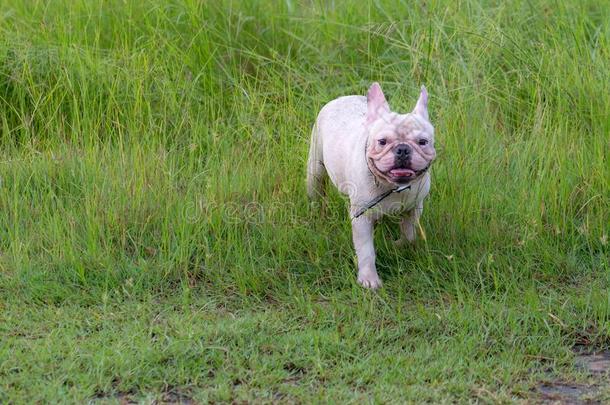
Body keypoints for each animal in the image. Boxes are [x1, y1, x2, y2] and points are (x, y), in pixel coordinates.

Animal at [306, 82, 434, 288]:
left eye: (423, 142)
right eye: (382, 142)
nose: (403, 149)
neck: (392, 186)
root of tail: (343, 97)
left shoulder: (414, 208)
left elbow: (409, 234)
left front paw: (398, 245)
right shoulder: (362, 217)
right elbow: (366, 251)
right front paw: (369, 279)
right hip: (315, 167)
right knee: (316, 192)